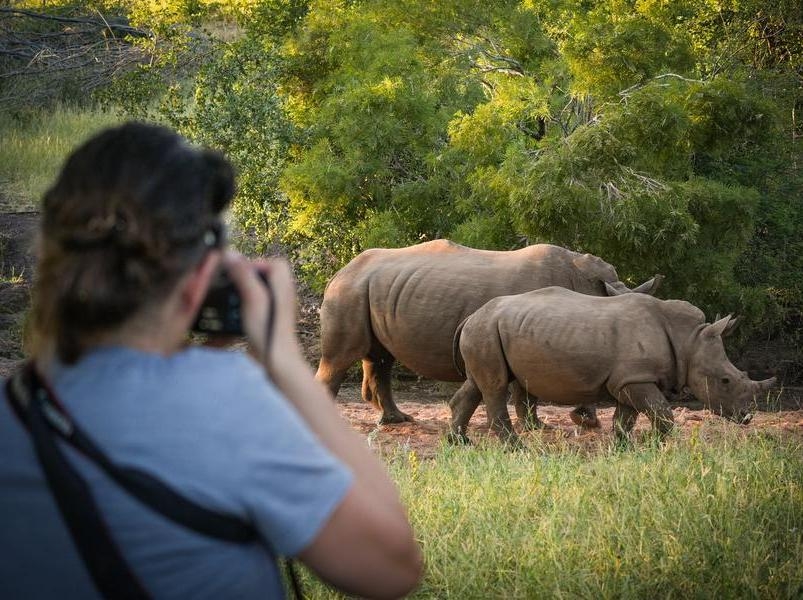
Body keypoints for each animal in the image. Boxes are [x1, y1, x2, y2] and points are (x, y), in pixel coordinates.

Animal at [315, 239, 661, 424]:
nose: (587, 421)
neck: (590, 289)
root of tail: (341, 270)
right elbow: (526, 389)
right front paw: (537, 426)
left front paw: (539, 425)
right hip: (348, 292)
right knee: (340, 359)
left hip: (372, 290)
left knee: (381, 358)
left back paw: (396, 420)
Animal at [449, 287, 776, 445]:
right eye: (725, 381)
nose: (747, 417)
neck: (689, 340)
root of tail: (472, 315)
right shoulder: (636, 379)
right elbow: (663, 414)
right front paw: (653, 444)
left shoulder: (628, 379)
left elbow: (625, 418)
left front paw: (623, 448)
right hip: (486, 329)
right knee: (495, 388)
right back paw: (518, 449)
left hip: (487, 330)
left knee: (478, 385)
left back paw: (460, 443)